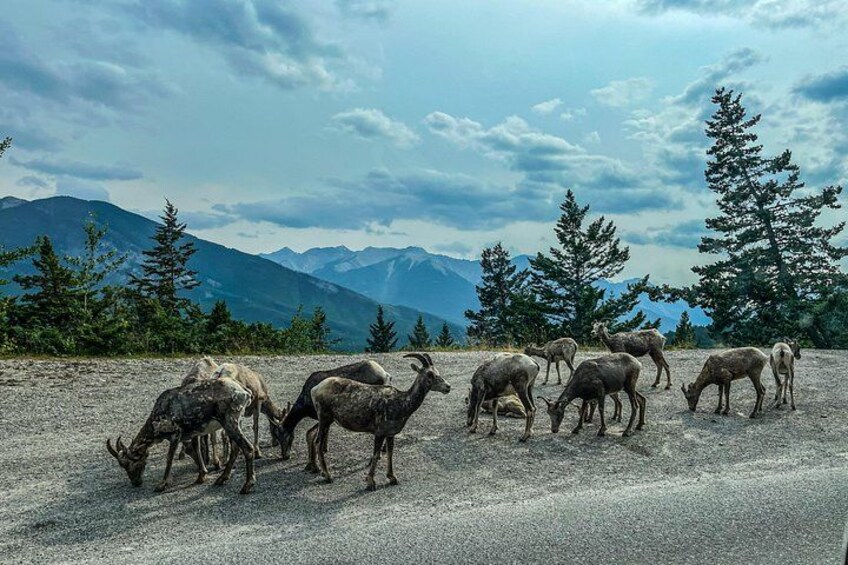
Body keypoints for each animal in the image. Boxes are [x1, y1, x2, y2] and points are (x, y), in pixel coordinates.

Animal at [106, 377, 259, 494]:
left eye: (131, 462)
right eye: (122, 465)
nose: (136, 482)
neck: (156, 422)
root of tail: (245, 392)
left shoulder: (175, 433)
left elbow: (169, 459)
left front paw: (162, 485)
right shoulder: (193, 432)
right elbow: (196, 449)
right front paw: (201, 476)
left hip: (229, 420)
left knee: (247, 448)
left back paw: (247, 485)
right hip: (235, 421)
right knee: (236, 448)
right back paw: (222, 478)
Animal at [310, 353, 450, 491]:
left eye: (437, 371)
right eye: (429, 374)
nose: (448, 387)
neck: (401, 404)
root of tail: (315, 389)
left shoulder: (390, 433)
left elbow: (390, 452)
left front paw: (392, 478)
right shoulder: (379, 432)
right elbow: (376, 454)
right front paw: (371, 483)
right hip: (324, 417)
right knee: (318, 442)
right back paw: (328, 476)